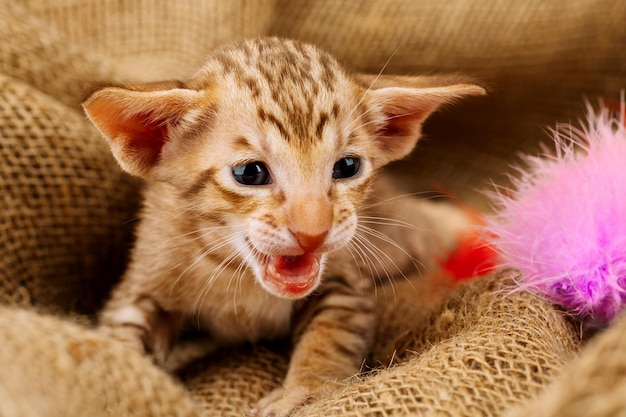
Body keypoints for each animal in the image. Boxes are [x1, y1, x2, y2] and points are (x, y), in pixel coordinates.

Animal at [83, 37, 482, 414]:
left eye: (347, 166)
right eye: (250, 173)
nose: (314, 232)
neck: (239, 278)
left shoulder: (345, 281)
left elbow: (331, 335)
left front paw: (306, 390)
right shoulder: (144, 278)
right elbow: (118, 340)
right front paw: (120, 384)